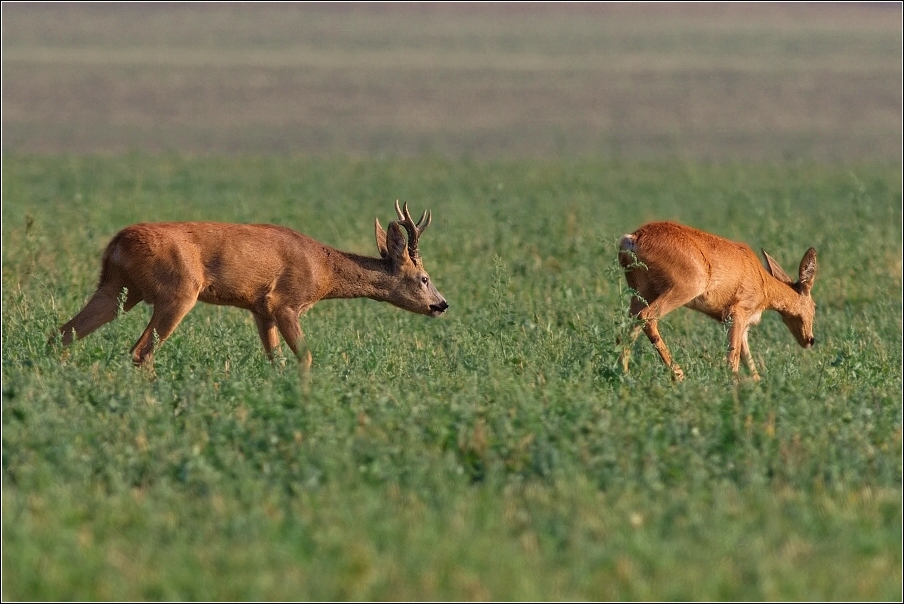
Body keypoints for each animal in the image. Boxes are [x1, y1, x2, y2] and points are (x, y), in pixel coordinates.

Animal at [53, 201, 448, 366]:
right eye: (424, 278)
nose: (441, 304)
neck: (322, 268)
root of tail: (117, 243)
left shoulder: (260, 308)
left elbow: (275, 359)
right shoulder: (285, 302)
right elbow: (305, 356)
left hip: (117, 288)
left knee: (64, 331)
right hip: (177, 292)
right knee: (140, 351)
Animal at [616, 222, 816, 382]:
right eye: (815, 307)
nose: (810, 339)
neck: (764, 283)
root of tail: (632, 239)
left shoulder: (742, 326)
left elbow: (749, 364)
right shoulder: (736, 314)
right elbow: (732, 360)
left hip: (640, 294)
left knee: (626, 328)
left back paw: (622, 375)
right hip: (683, 289)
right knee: (647, 317)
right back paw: (679, 376)